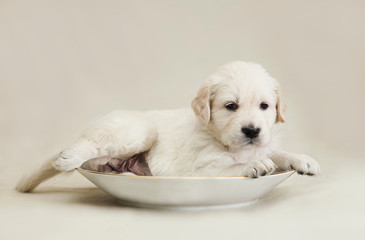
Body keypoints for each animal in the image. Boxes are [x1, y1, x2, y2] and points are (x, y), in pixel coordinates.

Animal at [16, 62, 318, 193]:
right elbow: (229, 166)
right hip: (138, 131)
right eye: (231, 106)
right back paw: (67, 158)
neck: (221, 138)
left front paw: (302, 159)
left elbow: (275, 152)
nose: (252, 131)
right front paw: (254, 166)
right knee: (87, 145)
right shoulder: (198, 170)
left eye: (264, 106)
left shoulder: (262, 144)